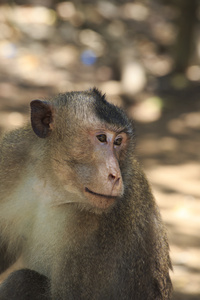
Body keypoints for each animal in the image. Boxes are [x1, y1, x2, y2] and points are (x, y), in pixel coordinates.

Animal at [0, 88, 172, 298]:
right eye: (101, 138)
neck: (52, 187)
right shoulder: (10, 160)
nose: (115, 176)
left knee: (22, 280)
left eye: (118, 141)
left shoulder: (97, 232)